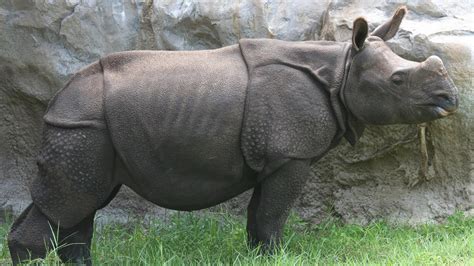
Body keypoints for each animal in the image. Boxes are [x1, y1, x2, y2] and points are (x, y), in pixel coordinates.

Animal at [8, 6, 460, 264]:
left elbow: (259, 212)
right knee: (73, 199)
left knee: (84, 200)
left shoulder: (275, 156)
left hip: (88, 128)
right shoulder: (291, 155)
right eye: (398, 80)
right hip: (82, 126)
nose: (451, 98)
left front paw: (260, 256)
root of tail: (57, 100)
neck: (341, 68)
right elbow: (274, 212)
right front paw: (277, 257)